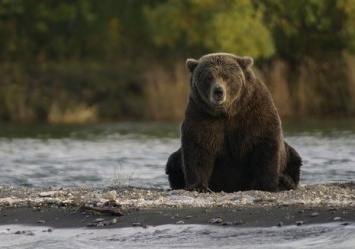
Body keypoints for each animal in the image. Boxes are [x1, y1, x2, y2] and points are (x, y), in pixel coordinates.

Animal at [167, 52, 304, 193]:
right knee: (172, 162)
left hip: (289, 154)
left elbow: (265, 146)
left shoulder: (254, 111)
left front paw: (267, 185)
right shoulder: (200, 115)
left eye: (226, 76)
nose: (218, 91)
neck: (227, 112)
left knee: (294, 158)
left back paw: (285, 181)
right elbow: (198, 149)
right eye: (209, 77)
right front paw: (198, 186)